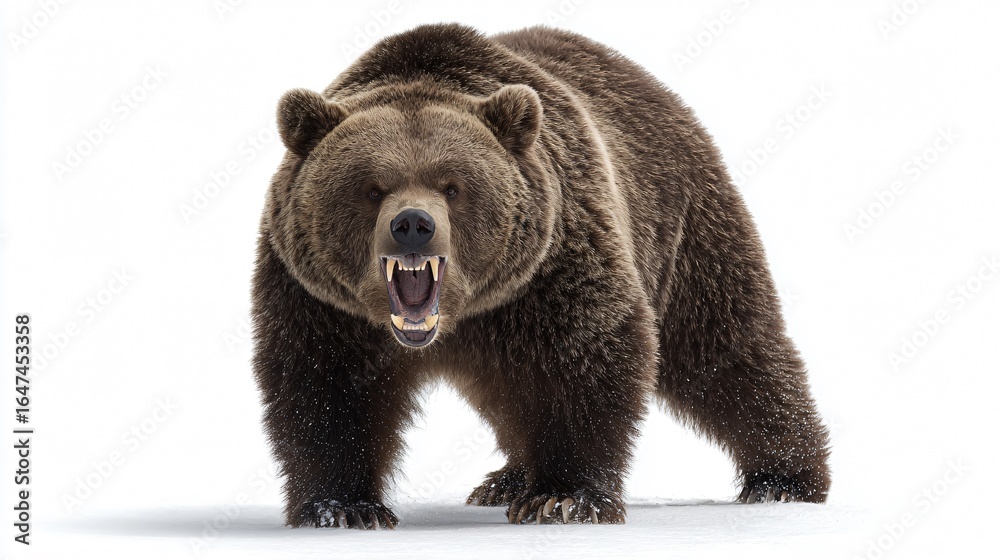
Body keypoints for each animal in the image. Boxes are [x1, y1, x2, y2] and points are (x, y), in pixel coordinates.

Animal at [252, 23, 830, 529]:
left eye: (453, 186)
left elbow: (585, 360)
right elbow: (323, 386)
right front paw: (344, 507)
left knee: (725, 348)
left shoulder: (553, 269)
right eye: (371, 188)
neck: (461, 316)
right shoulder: (319, 300)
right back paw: (505, 479)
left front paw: (564, 497)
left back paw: (785, 478)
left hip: (683, 221)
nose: (412, 225)